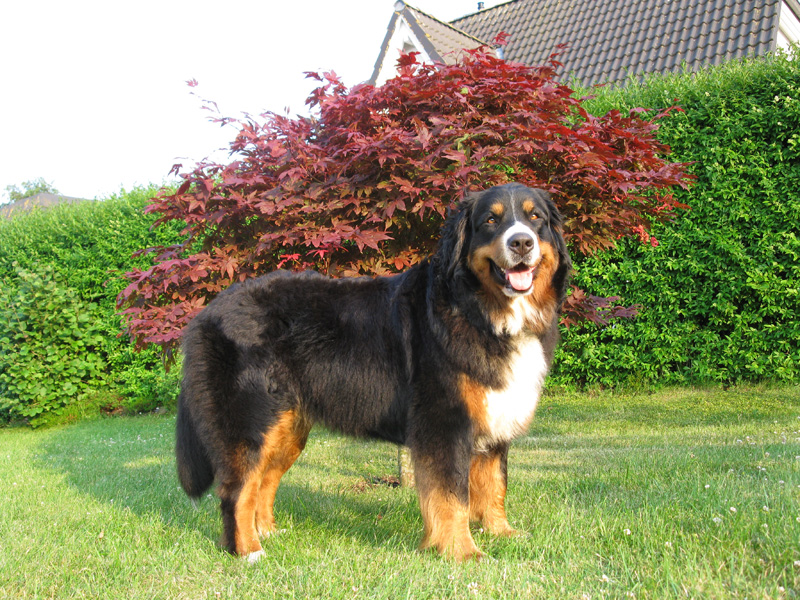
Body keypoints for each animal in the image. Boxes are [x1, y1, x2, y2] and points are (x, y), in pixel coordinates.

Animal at [175, 182, 571, 561]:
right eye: (491, 220)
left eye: (535, 218)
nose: (521, 242)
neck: (481, 310)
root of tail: (208, 311)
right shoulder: (446, 422)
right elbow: (452, 495)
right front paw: (462, 551)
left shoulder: (496, 416)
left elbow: (494, 483)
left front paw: (501, 533)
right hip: (253, 420)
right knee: (237, 489)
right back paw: (248, 552)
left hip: (287, 425)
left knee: (264, 480)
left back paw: (269, 534)